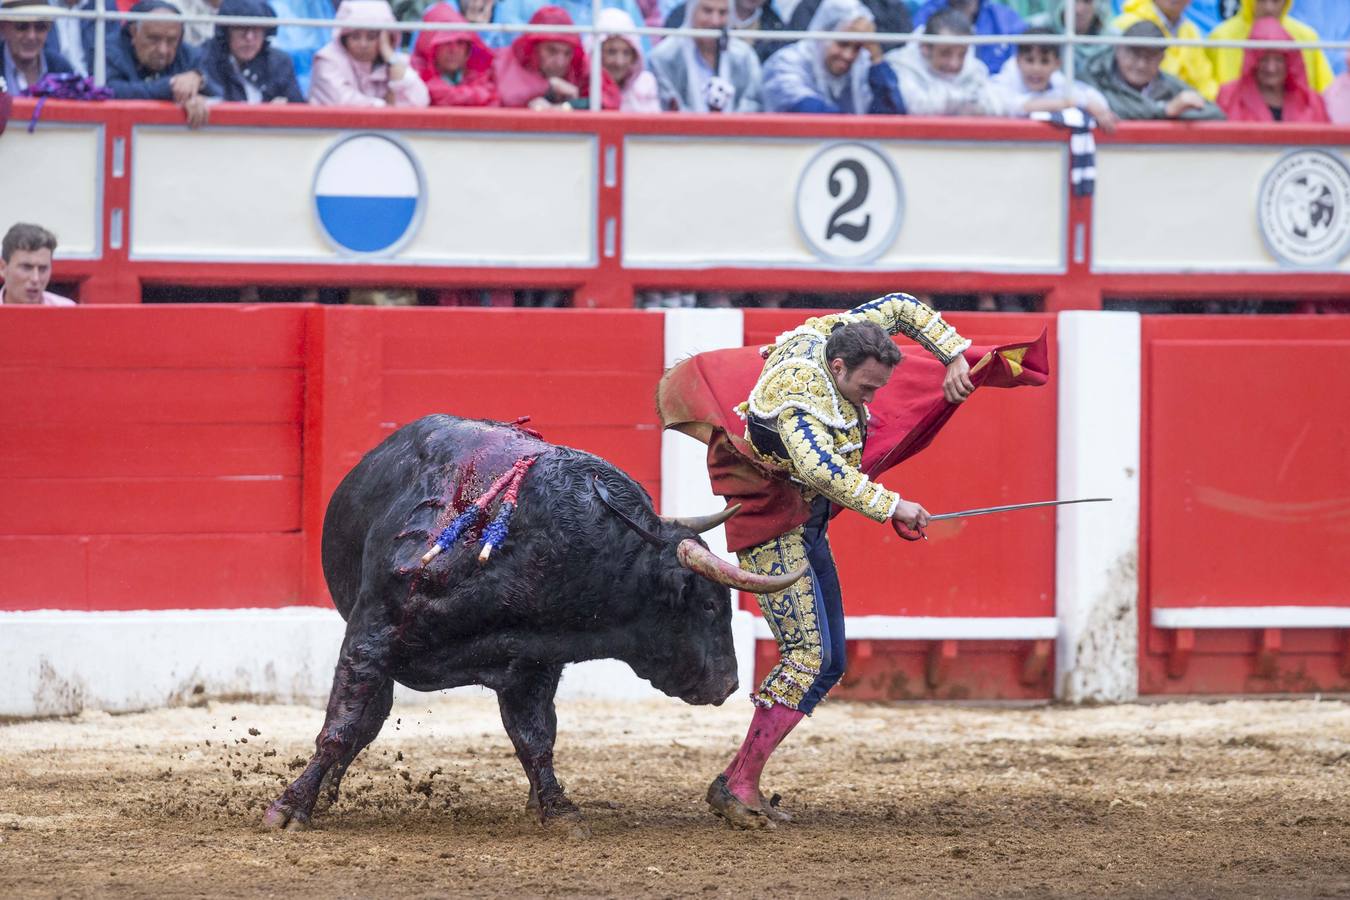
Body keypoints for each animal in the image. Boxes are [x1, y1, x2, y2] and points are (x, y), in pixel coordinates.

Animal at [260, 415, 799, 831]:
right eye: (707, 605)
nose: (728, 683)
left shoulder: (533, 661)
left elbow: (536, 737)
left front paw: (557, 809)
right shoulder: (371, 637)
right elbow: (341, 725)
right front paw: (288, 809)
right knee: (366, 719)